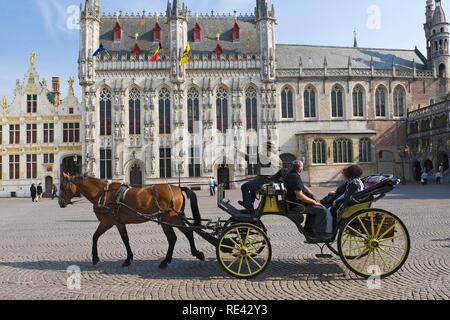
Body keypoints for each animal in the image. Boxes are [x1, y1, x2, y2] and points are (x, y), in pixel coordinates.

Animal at [59, 172, 206, 268]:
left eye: (62, 186)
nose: (60, 202)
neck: (103, 194)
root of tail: (178, 187)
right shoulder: (117, 223)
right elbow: (124, 239)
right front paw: (129, 258)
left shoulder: (109, 222)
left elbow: (97, 237)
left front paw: (96, 258)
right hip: (174, 219)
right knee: (186, 233)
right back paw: (193, 254)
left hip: (169, 219)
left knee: (175, 237)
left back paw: (167, 261)